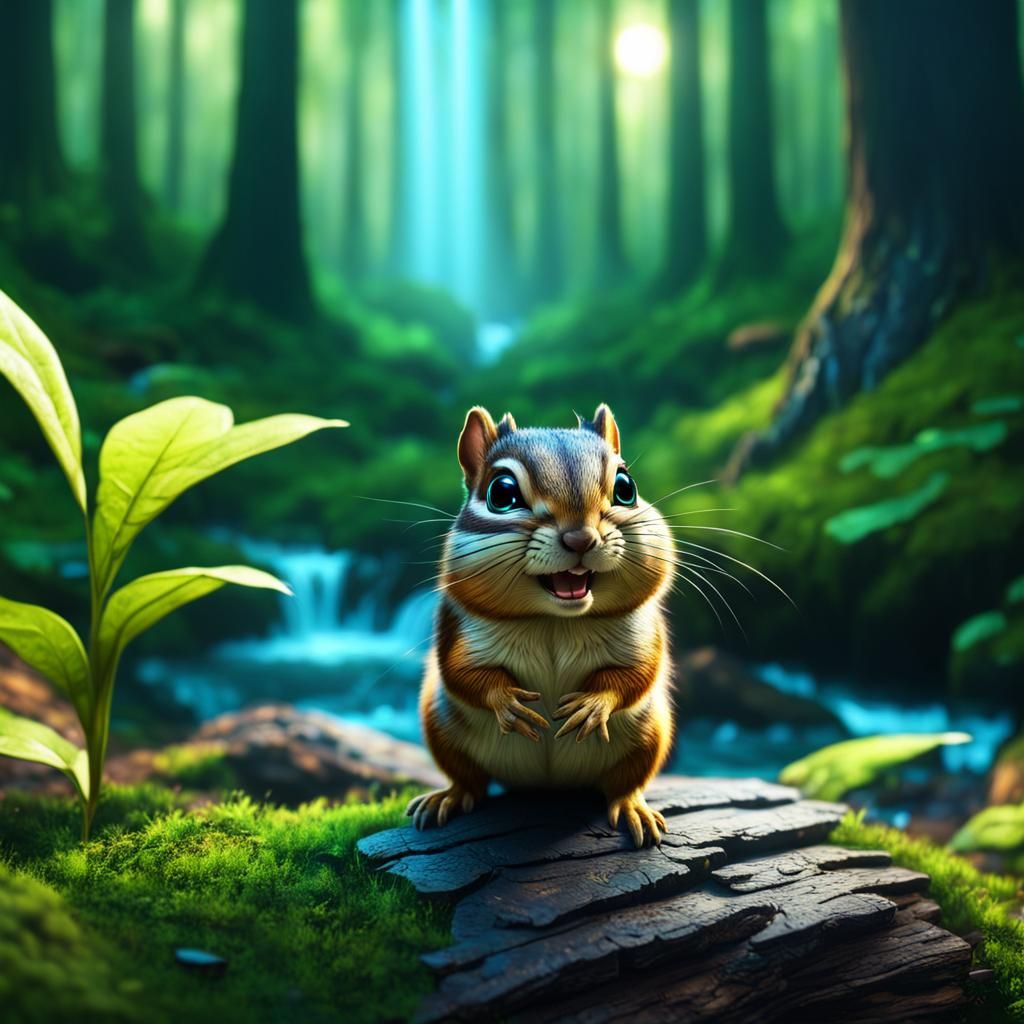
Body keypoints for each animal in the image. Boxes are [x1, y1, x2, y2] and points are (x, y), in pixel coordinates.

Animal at [407, 404, 675, 847]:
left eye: (626, 487)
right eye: (501, 494)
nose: (580, 538)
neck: (555, 622)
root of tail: (549, 785)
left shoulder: (643, 633)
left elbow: (636, 674)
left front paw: (592, 704)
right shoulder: (456, 631)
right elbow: (464, 673)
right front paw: (507, 702)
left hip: (650, 737)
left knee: (625, 783)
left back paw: (634, 807)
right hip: (441, 729)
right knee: (469, 780)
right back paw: (447, 797)